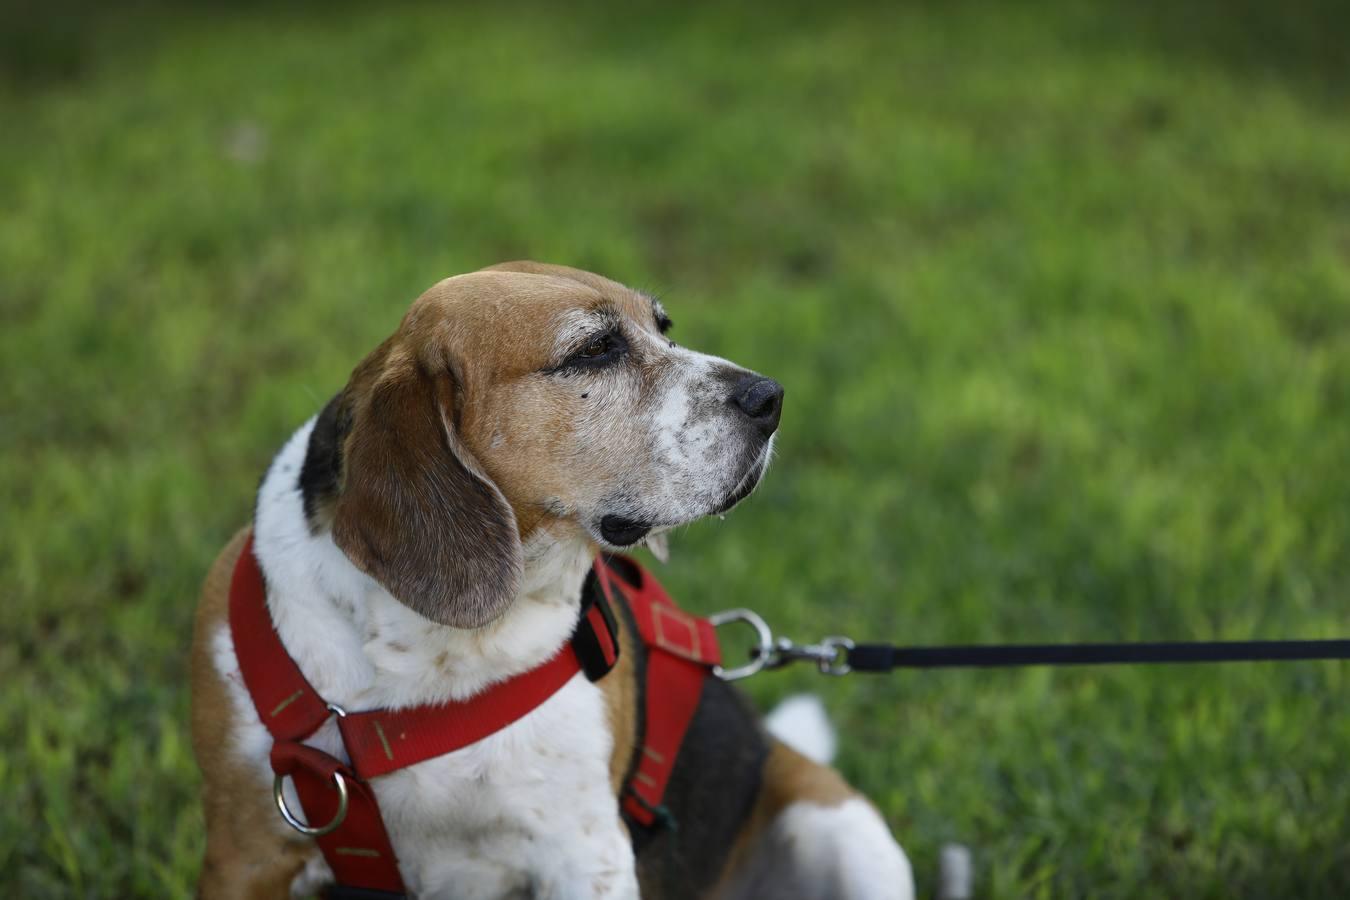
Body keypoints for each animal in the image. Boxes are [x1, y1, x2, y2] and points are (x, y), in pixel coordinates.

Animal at [193, 261, 918, 900]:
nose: (771, 397)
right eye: (594, 350)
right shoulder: (243, 855)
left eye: (664, 326)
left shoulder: (587, 856)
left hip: (849, 835)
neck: (427, 649)